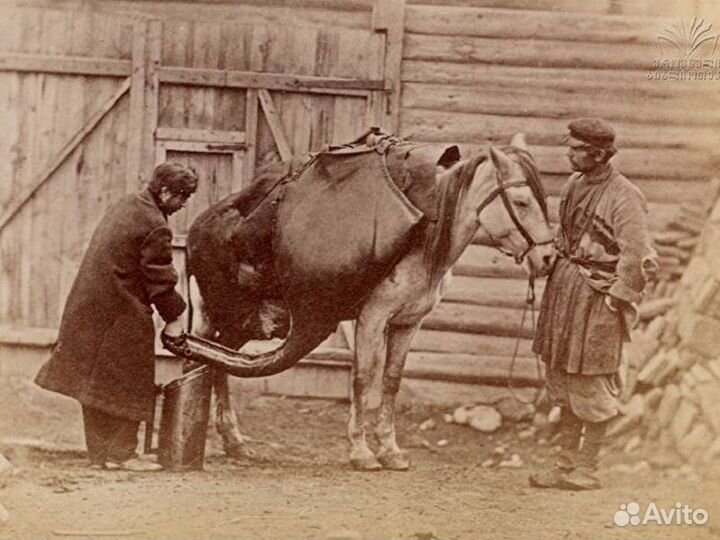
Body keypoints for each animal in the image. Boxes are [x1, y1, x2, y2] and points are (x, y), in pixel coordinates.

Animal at [165, 132, 556, 468]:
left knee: (215, 363)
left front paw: (390, 449)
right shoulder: (372, 318)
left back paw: (233, 441)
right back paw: (219, 437)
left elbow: (391, 380)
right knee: (210, 363)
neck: (425, 246)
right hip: (234, 314)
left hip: (248, 322)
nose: (548, 258)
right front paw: (361, 450)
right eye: (521, 201)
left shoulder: (408, 323)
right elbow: (363, 378)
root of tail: (199, 227)